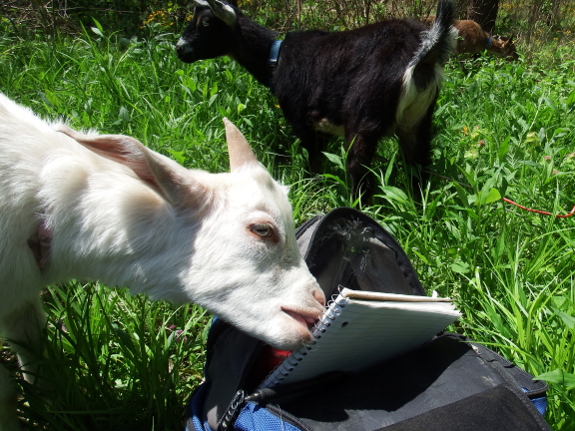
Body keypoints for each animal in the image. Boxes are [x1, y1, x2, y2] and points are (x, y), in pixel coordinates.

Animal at [178, 0, 456, 199]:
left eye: (205, 22)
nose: (179, 48)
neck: (275, 58)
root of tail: (423, 52)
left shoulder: (301, 119)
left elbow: (313, 160)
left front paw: (313, 190)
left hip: (364, 118)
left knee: (360, 174)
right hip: (417, 121)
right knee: (418, 168)